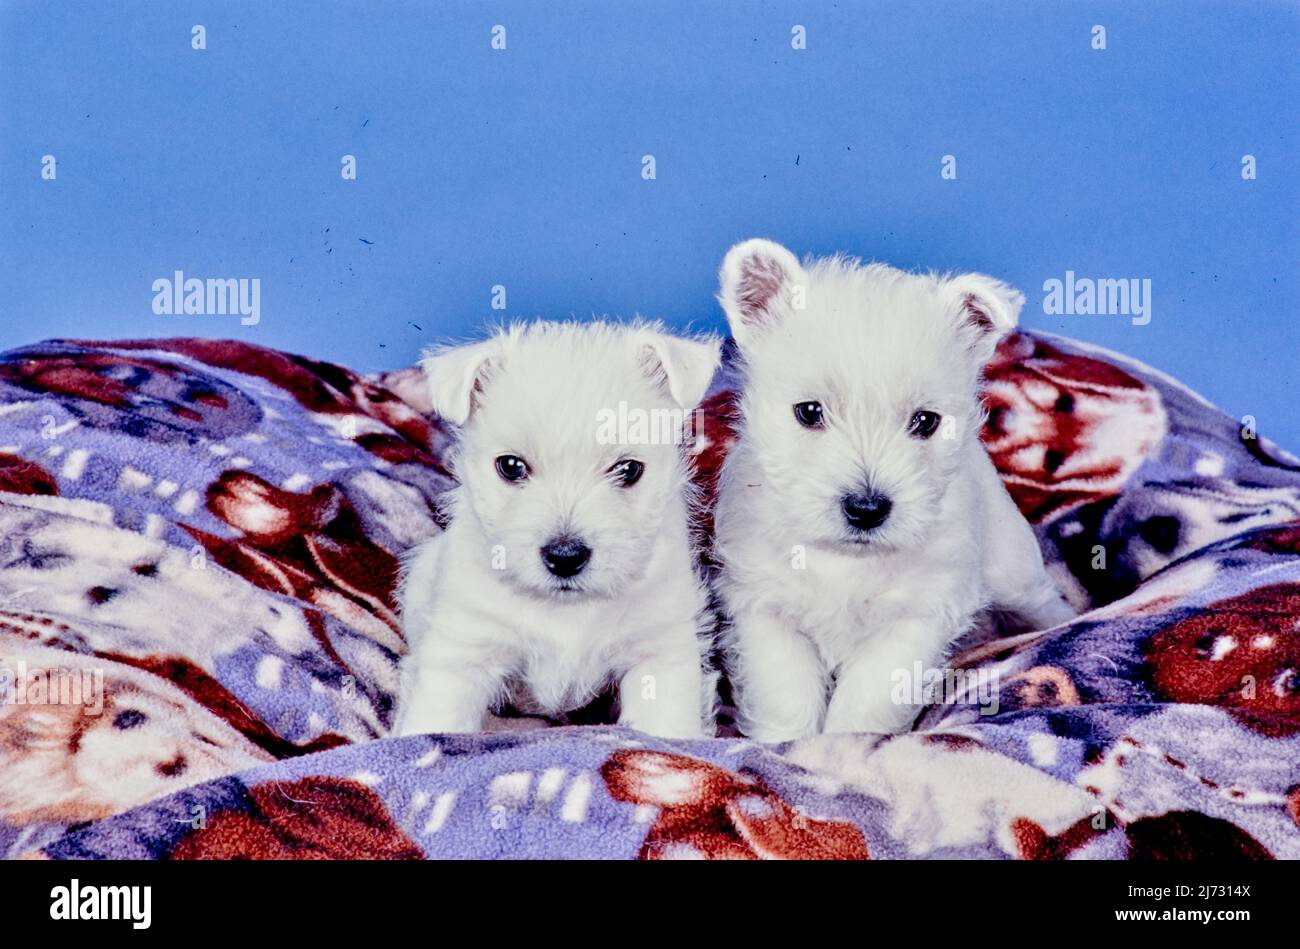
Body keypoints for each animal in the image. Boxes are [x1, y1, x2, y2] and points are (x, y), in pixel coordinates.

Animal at [390, 318, 728, 738]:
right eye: (511, 466)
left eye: (629, 469)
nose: (565, 557)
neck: (567, 609)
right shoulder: (464, 645)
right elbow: (437, 716)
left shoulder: (659, 648)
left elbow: (665, 723)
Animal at [712, 236, 1066, 738]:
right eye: (809, 412)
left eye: (925, 421)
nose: (866, 509)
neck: (847, 561)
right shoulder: (765, 608)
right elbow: (785, 695)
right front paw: (783, 743)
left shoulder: (916, 617)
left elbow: (867, 698)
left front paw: (844, 744)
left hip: (1015, 572)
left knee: (1045, 604)